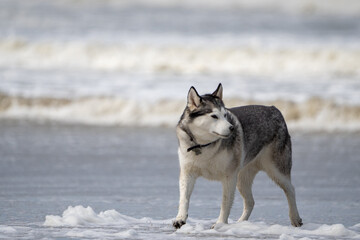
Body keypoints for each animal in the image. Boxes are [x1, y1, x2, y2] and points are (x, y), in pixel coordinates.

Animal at [173, 84, 302, 229]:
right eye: (214, 116)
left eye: (225, 115)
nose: (232, 128)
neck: (204, 145)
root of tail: (274, 109)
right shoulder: (187, 173)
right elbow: (184, 198)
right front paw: (180, 218)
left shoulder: (229, 176)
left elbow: (225, 202)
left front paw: (220, 223)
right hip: (242, 178)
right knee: (251, 201)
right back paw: (241, 223)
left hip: (276, 170)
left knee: (290, 189)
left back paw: (295, 218)